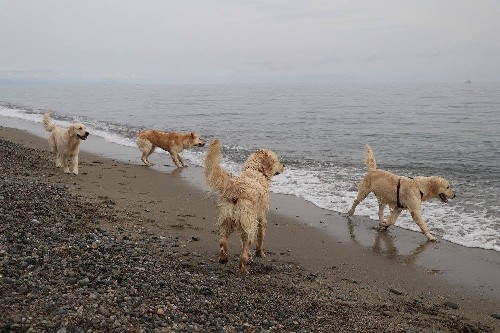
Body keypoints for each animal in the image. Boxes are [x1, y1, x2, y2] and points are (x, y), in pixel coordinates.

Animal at [205, 139, 286, 272]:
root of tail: (235, 187)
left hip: (226, 219)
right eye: (276, 160)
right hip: (248, 223)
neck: (255, 171)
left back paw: (223, 258)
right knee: (245, 248)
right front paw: (260, 253)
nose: (284, 165)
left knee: (223, 241)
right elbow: (261, 237)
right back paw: (243, 267)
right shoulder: (262, 218)